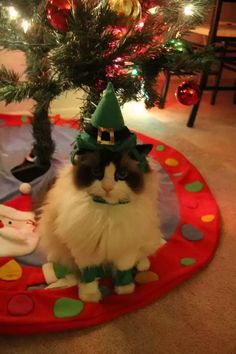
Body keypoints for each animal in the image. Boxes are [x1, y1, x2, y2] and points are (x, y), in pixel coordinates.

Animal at [37, 144, 163, 302]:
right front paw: (90, 297)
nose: (107, 188)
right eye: (96, 172)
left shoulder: (125, 247)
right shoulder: (86, 249)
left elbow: (124, 270)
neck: (107, 211)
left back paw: (143, 265)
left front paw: (124, 290)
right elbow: (89, 275)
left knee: (144, 253)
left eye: (122, 174)